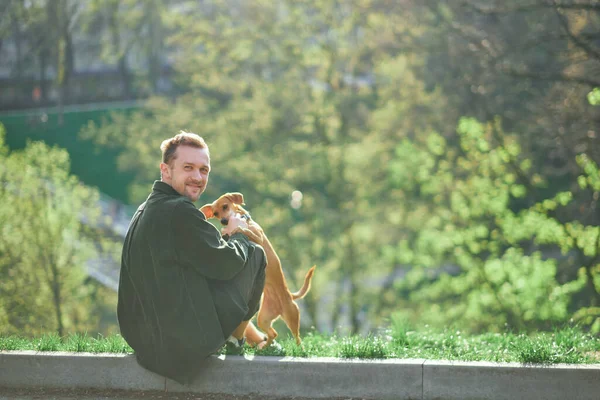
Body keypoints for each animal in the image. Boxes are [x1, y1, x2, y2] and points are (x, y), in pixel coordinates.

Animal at [200, 193, 316, 346]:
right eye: (215, 214)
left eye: (225, 206)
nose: (224, 221)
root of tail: (290, 296)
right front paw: (227, 233)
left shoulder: (258, 238)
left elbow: (244, 230)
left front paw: (237, 229)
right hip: (263, 319)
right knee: (273, 333)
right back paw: (265, 346)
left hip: (292, 318)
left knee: (297, 338)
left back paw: (297, 348)